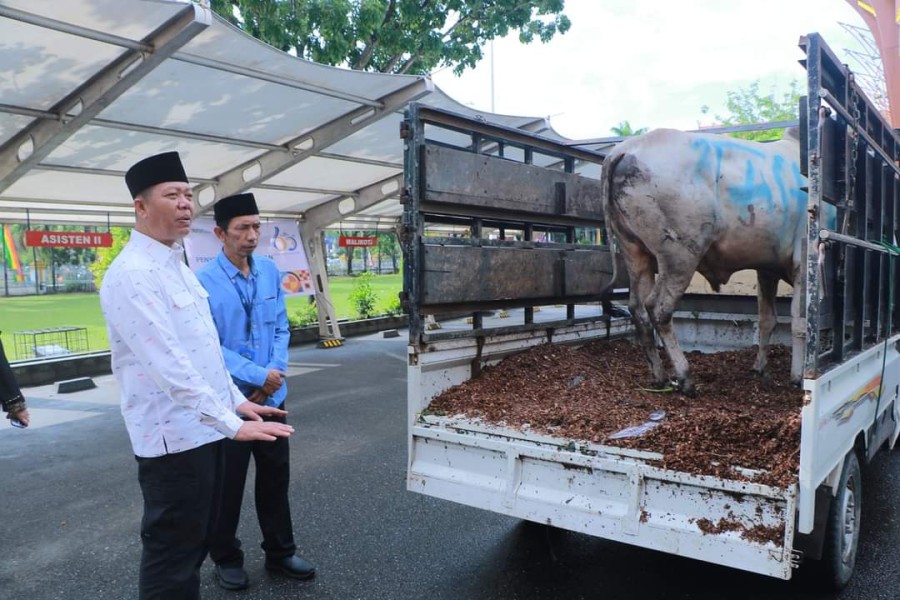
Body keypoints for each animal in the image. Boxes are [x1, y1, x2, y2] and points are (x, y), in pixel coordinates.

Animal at [604, 129, 808, 396]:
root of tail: (624, 149)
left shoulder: (766, 268)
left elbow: (767, 320)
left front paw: (761, 370)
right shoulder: (803, 261)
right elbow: (800, 322)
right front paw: (798, 377)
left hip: (634, 251)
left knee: (638, 309)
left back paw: (659, 377)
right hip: (679, 255)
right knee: (658, 308)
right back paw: (685, 377)